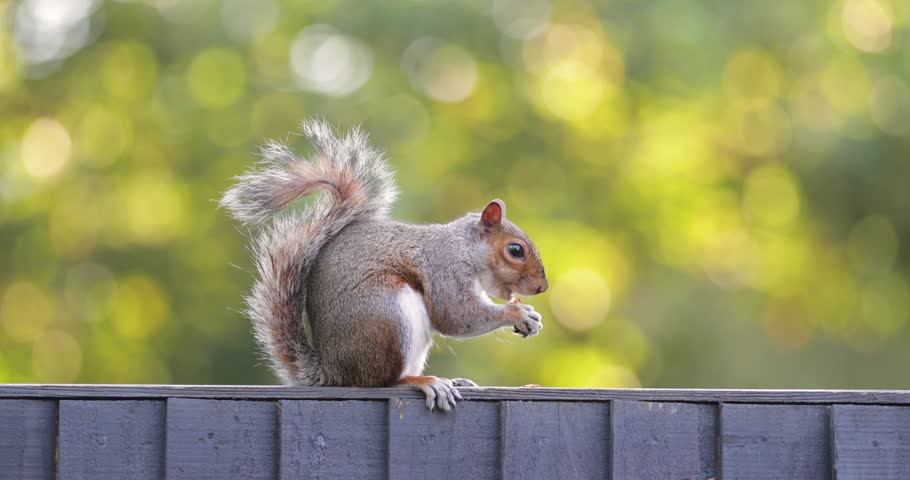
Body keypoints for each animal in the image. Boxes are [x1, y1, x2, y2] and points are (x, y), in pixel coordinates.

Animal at [219, 119, 548, 412]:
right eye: (515, 250)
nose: (542, 287)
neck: (465, 247)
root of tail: (334, 371)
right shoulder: (445, 269)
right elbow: (455, 315)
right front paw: (518, 314)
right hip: (387, 315)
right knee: (384, 381)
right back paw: (424, 381)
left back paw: (453, 381)